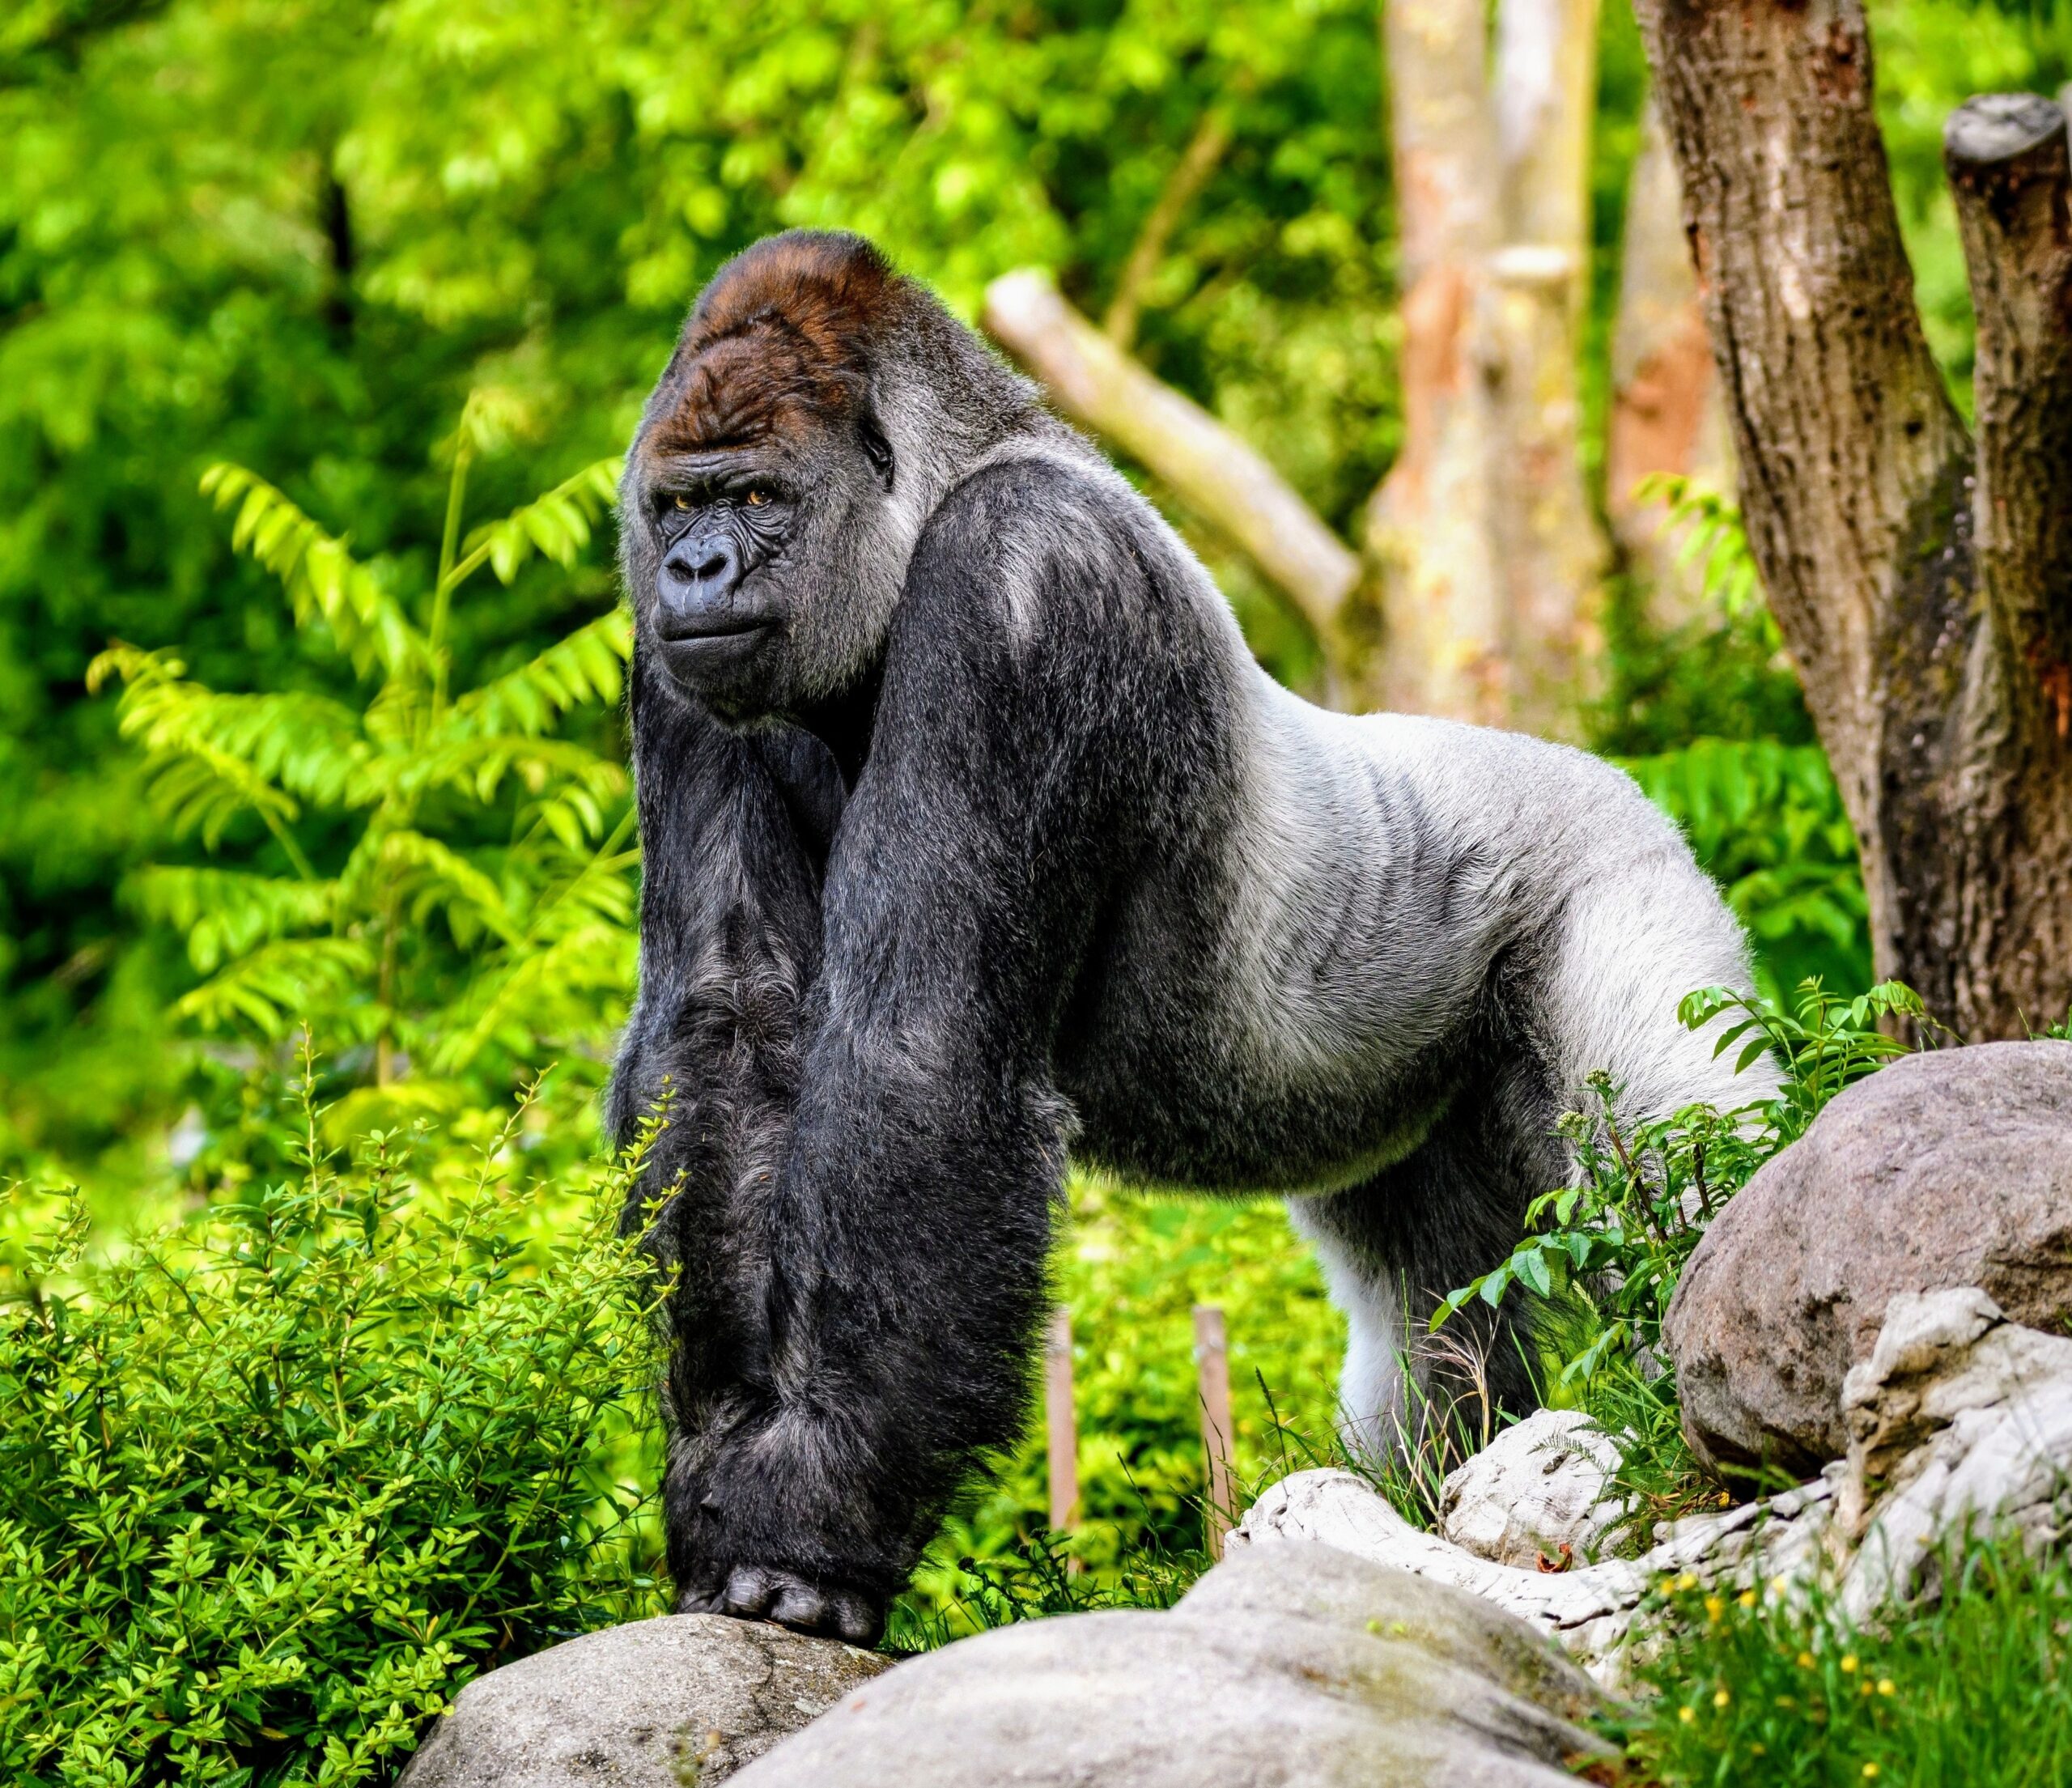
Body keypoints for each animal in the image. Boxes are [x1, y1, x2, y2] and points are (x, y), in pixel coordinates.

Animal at [606, 230, 1764, 1645]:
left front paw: (808, 1521)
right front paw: (722, 1473)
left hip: (1624, 886)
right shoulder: (681, 664)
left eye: (760, 496)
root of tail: (1625, 787)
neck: (942, 483)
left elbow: (917, 1052)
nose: (695, 572)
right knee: (1429, 1310)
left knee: (1679, 1181)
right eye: (677, 508)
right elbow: (728, 1032)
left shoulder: (1024, 580)